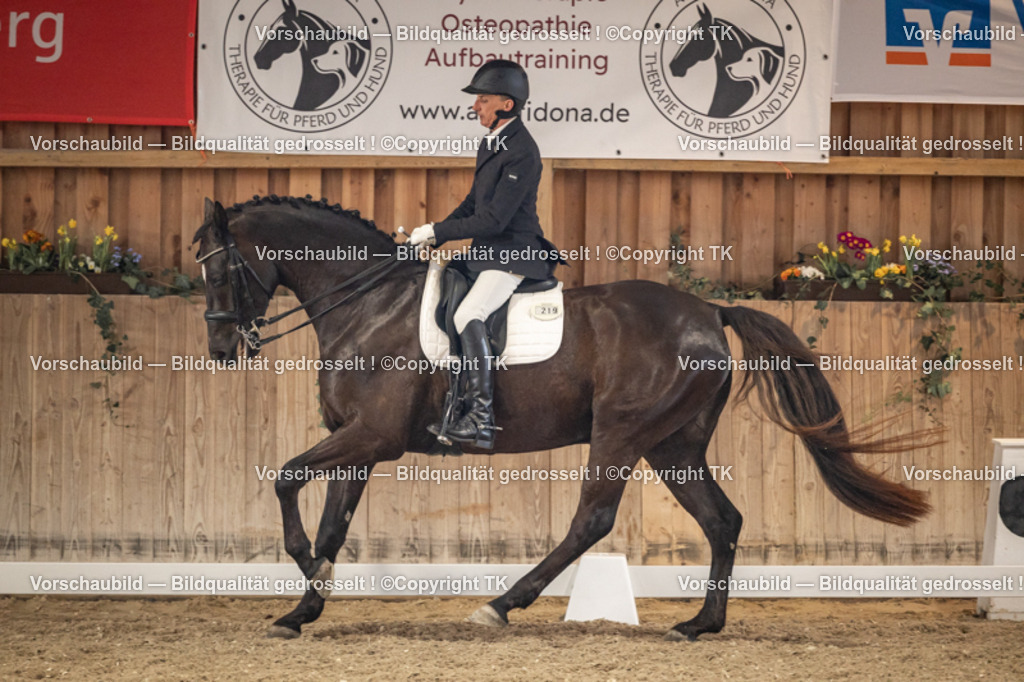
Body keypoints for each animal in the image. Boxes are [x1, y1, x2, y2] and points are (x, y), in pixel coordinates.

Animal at [192, 195, 931, 641]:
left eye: (219, 270)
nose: (222, 348)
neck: (369, 303)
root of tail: (708, 313)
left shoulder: (372, 436)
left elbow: (285, 479)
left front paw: (306, 575)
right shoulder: (358, 441)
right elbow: (332, 524)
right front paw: (303, 607)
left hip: (622, 434)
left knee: (592, 521)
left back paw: (501, 605)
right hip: (673, 445)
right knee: (722, 520)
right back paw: (698, 625)